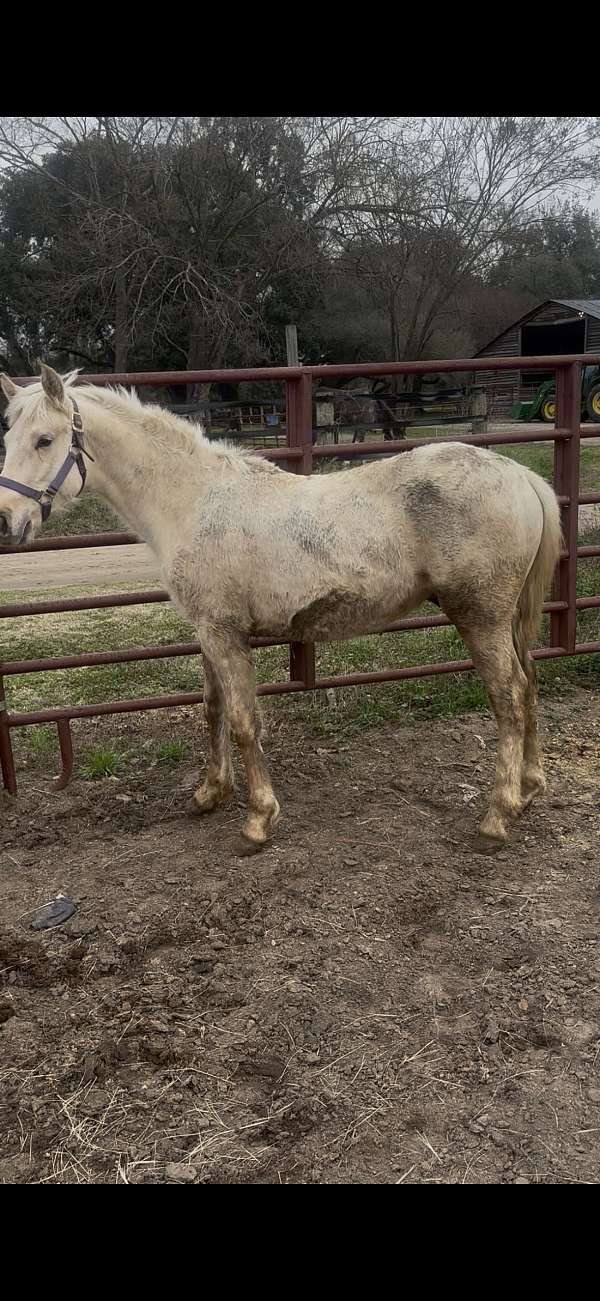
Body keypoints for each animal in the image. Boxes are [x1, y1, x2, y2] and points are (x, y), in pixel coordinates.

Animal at [0, 365, 561, 856]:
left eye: (44, 440)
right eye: (8, 439)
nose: (8, 521)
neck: (194, 500)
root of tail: (520, 475)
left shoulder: (225, 634)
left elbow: (244, 720)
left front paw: (257, 820)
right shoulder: (208, 632)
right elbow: (213, 708)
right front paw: (211, 793)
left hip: (481, 618)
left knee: (509, 698)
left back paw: (497, 816)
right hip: (508, 620)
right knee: (531, 682)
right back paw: (530, 787)